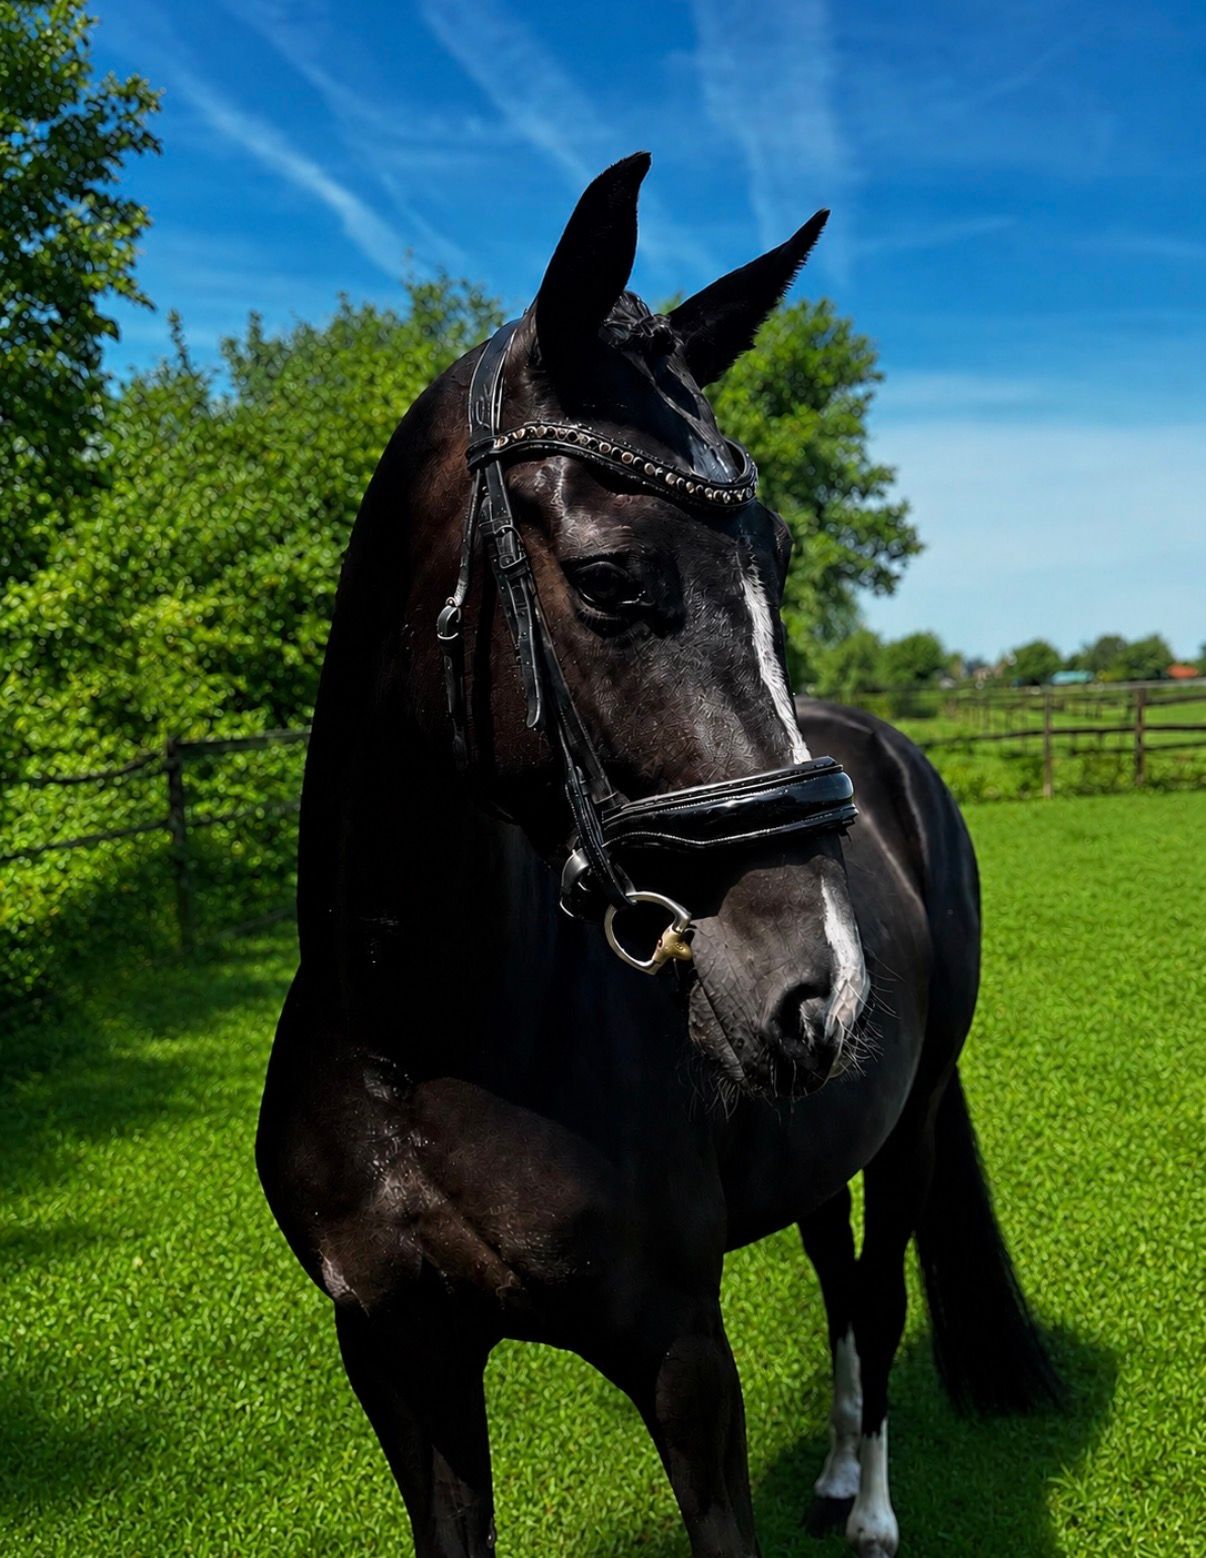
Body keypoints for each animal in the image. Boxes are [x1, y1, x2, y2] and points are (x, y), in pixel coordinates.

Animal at [257, 153, 1059, 1558]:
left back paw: (872, 1510)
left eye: (779, 557)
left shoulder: (682, 1360)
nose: (823, 987)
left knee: (880, 1298)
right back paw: (836, 1476)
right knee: (838, 1278)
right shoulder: (401, 1362)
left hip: (905, 1131)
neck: (417, 1041)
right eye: (614, 581)